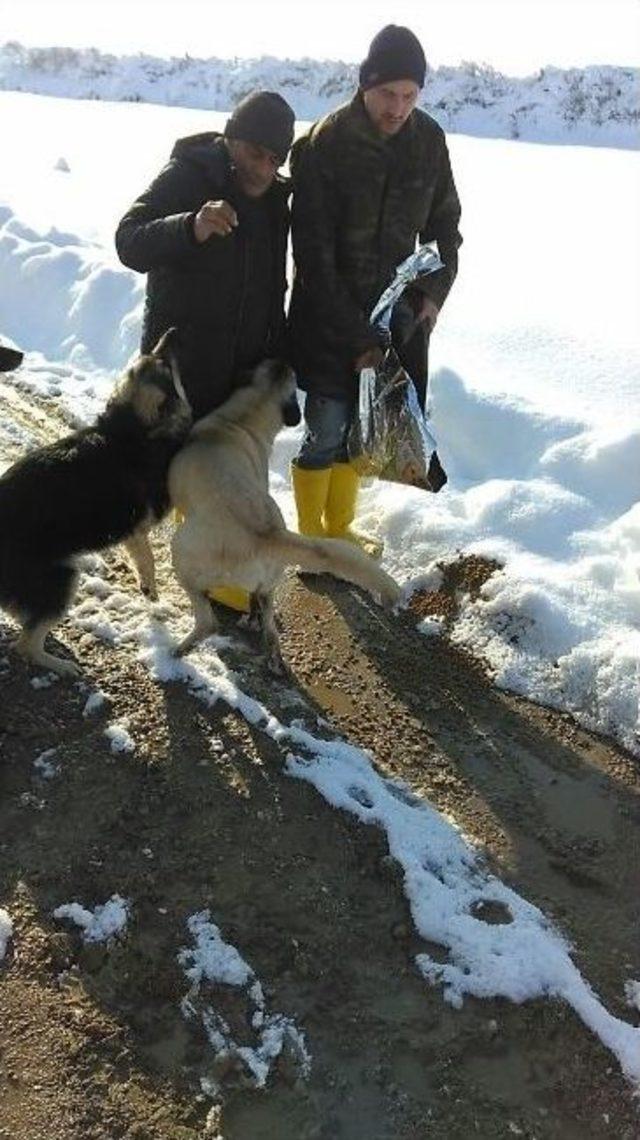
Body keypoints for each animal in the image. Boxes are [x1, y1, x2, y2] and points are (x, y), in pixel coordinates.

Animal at [0, 328, 189, 674]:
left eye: (157, 357)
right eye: (166, 367)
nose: (172, 331)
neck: (129, 427)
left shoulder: (132, 532)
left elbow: (142, 559)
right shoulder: (139, 525)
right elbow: (149, 560)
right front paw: (151, 589)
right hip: (62, 579)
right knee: (26, 645)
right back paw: (60, 664)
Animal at [169, 360, 399, 670]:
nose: (285, 362)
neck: (241, 417)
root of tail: (268, 536)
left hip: (182, 554)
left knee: (208, 621)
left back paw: (180, 648)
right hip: (267, 584)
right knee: (266, 618)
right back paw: (271, 652)